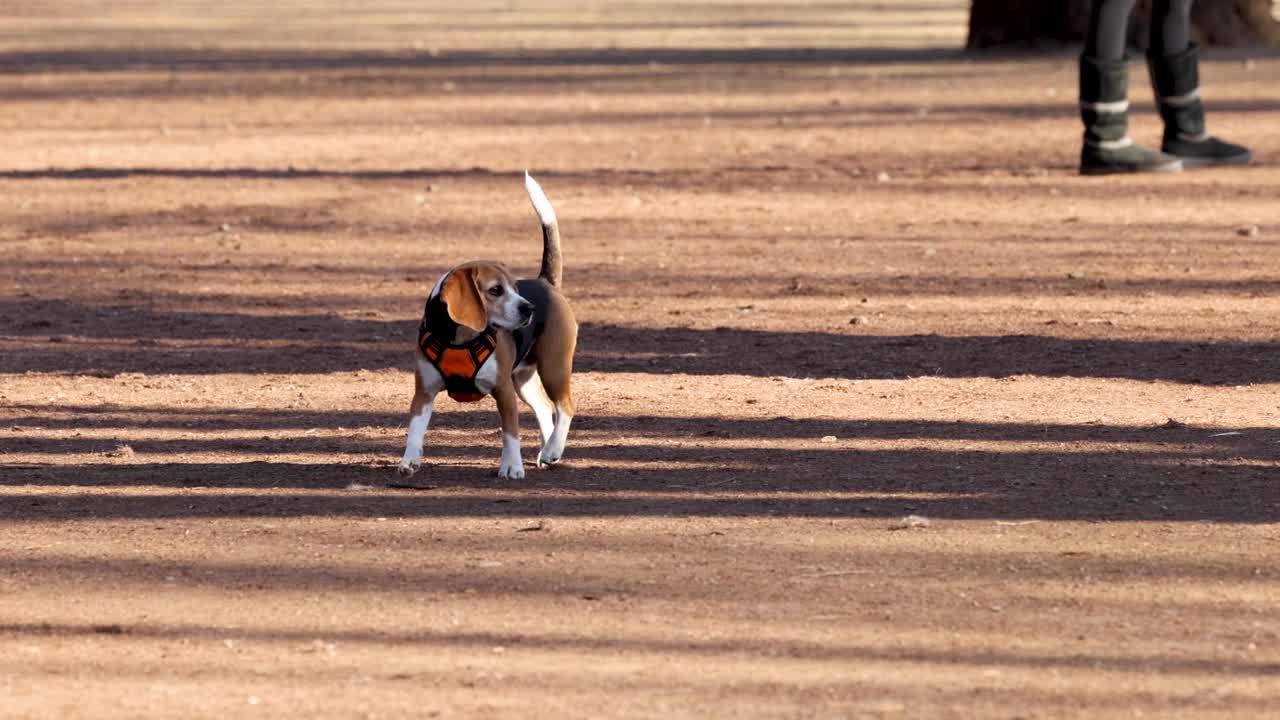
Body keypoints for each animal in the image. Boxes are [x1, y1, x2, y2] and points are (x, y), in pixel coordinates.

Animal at [394, 170, 581, 479]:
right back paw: (547, 452)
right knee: (545, 409)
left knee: (565, 406)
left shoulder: (503, 391)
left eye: (515, 288)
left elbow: (510, 434)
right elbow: (415, 430)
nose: (528, 308)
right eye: (495, 290)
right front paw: (409, 461)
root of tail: (546, 283)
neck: (458, 337)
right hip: (523, 379)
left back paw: (553, 449)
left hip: (553, 366)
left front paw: (512, 467)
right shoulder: (424, 392)